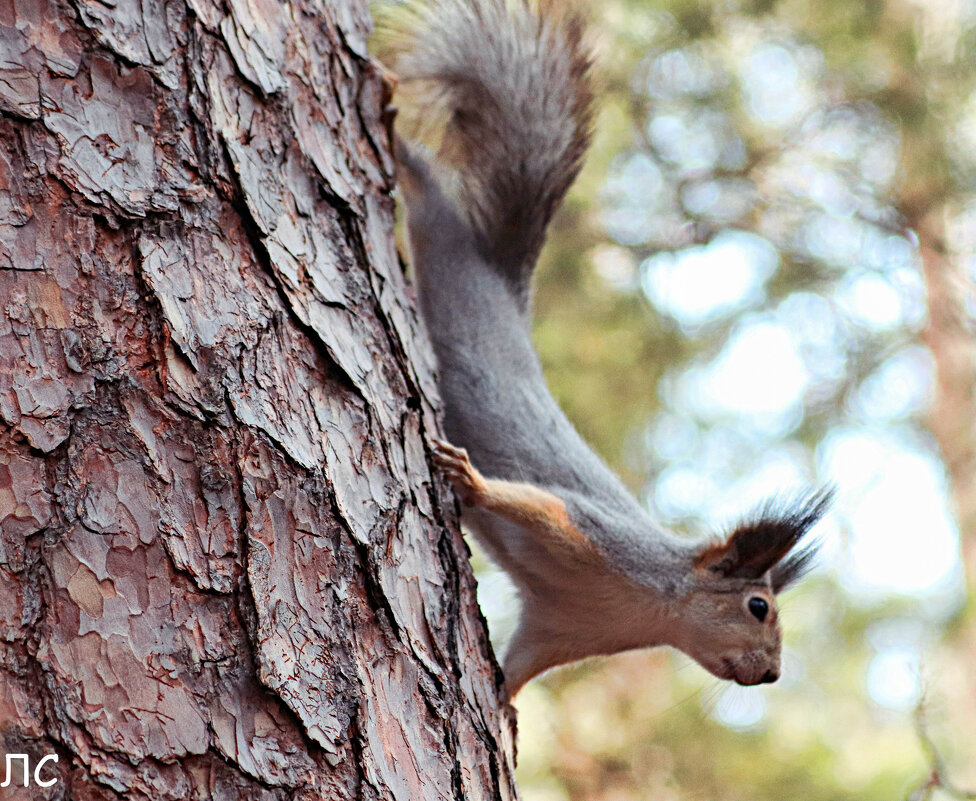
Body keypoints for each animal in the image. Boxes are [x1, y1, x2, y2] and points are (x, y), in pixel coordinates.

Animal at [386, 0, 828, 696]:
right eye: (758, 606)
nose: (772, 674)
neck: (652, 610)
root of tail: (502, 285)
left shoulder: (559, 627)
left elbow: (517, 670)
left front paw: (507, 715)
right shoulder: (595, 536)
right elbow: (537, 503)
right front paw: (471, 480)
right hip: (444, 250)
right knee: (429, 190)